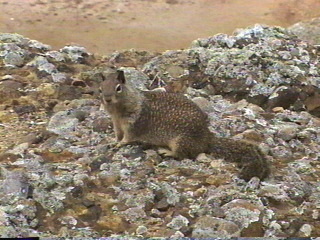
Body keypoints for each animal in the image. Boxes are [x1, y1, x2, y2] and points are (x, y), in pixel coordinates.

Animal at [99, 69, 270, 180]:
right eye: (100, 89)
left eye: (118, 88)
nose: (107, 99)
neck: (117, 111)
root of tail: (206, 138)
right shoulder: (117, 123)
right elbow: (117, 135)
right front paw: (112, 142)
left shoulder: (133, 123)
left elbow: (128, 138)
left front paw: (120, 144)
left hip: (180, 141)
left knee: (182, 155)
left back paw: (167, 152)